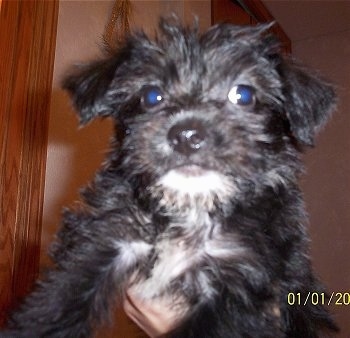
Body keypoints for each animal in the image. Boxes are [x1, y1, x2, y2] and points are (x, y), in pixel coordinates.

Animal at [2, 17, 338, 338]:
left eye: (243, 94)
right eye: (152, 96)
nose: (187, 135)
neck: (192, 210)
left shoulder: (242, 284)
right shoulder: (106, 237)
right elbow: (59, 300)